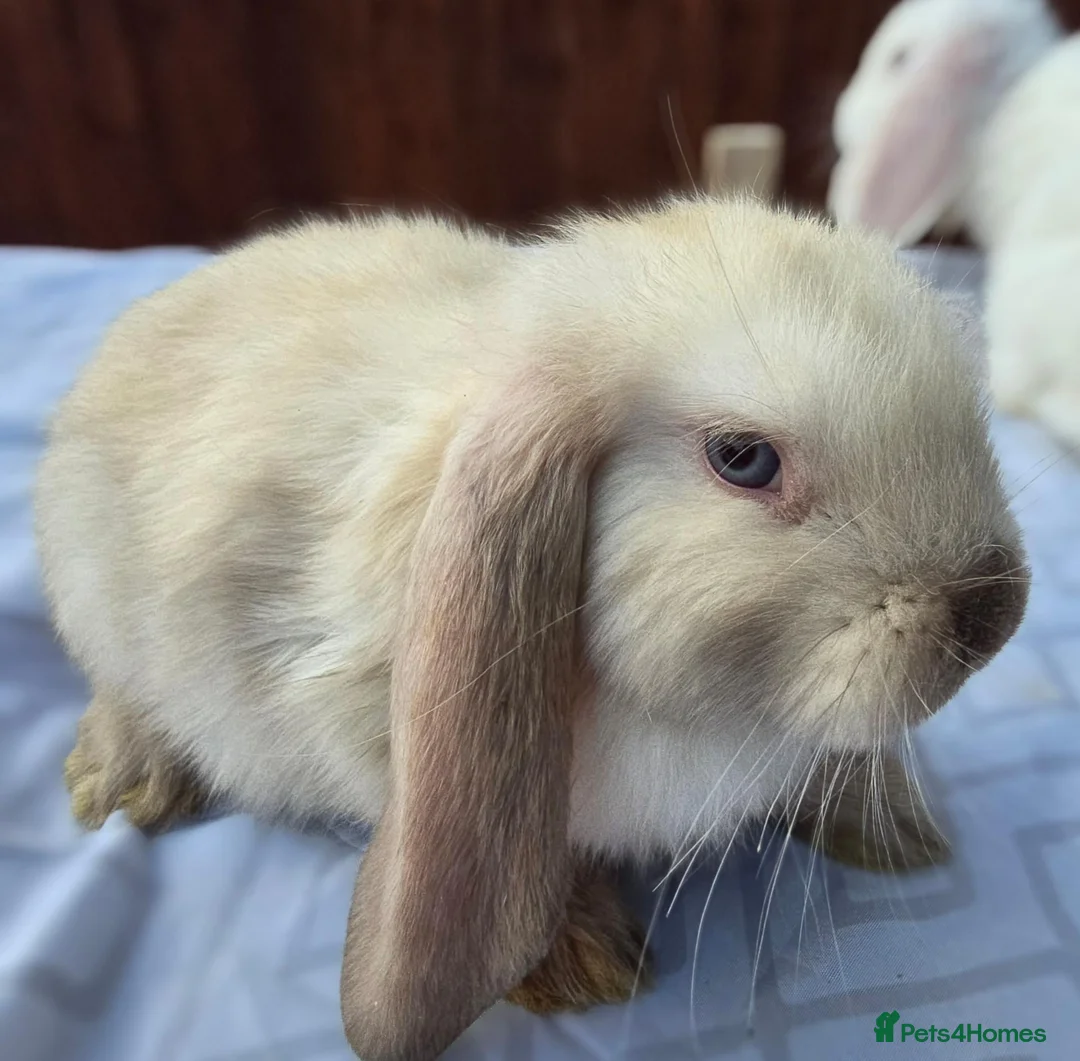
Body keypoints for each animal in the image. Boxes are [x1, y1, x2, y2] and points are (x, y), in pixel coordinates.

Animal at [35, 196, 1030, 1061]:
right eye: (743, 459)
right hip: (96, 599)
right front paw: (580, 964)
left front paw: (894, 829)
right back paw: (126, 782)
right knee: (120, 688)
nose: (994, 611)